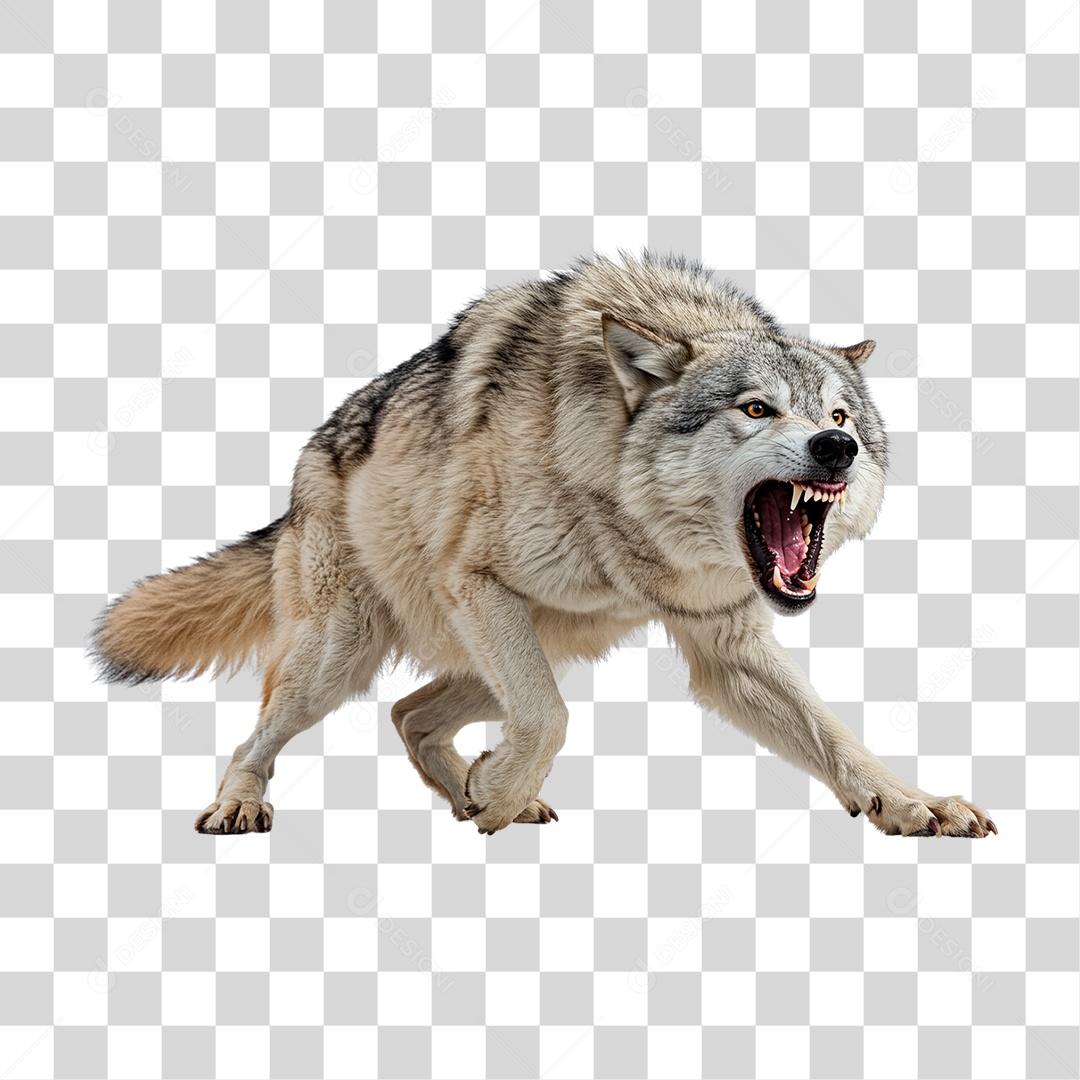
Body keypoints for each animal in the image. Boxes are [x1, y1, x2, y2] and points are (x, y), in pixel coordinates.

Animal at [90, 252, 996, 839]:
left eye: (839, 416)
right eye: (755, 409)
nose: (836, 449)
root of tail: (302, 476)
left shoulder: (726, 643)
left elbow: (837, 737)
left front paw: (913, 803)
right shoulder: (477, 582)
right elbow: (551, 718)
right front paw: (496, 791)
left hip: (543, 642)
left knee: (409, 711)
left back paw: (478, 790)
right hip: (344, 653)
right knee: (267, 729)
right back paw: (243, 803)